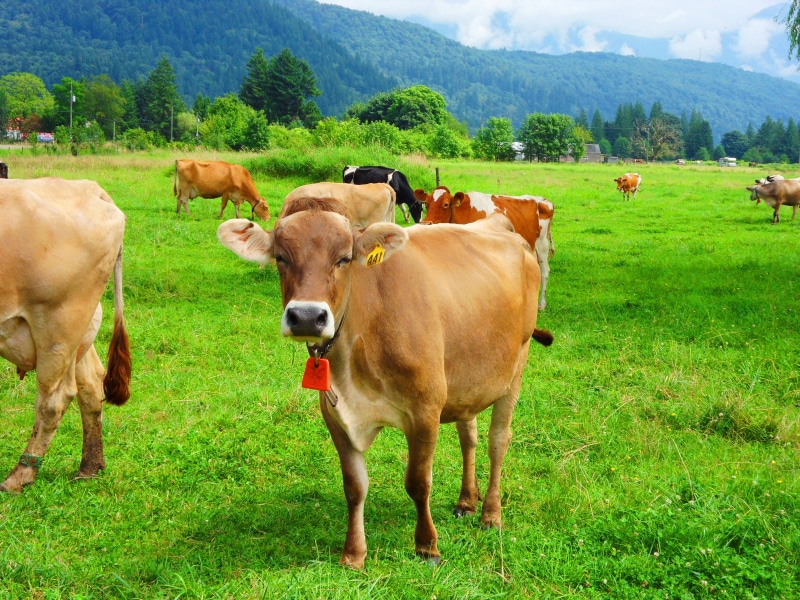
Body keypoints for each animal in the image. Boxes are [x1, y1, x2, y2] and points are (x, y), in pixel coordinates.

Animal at [0, 178, 132, 493]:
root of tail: (88, 187)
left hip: (59, 324)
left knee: (54, 399)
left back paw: (20, 475)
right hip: (80, 330)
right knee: (91, 385)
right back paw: (89, 467)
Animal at [217, 199, 553, 568]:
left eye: (344, 258)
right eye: (281, 257)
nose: (306, 317)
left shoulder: (425, 409)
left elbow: (418, 482)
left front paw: (427, 546)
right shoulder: (335, 415)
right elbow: (354, 486)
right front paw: (353, 553)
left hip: (516, 365)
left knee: (498, 441)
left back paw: (491, 513)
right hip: (468, 377)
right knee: (469, 436)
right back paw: (467, 500)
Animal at [415, 186, 554, 311]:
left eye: (446, 204)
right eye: (426, 204)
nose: (425, 224)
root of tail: (543, 200)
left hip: (542, 244)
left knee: (544, 271)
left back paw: (541, 304)